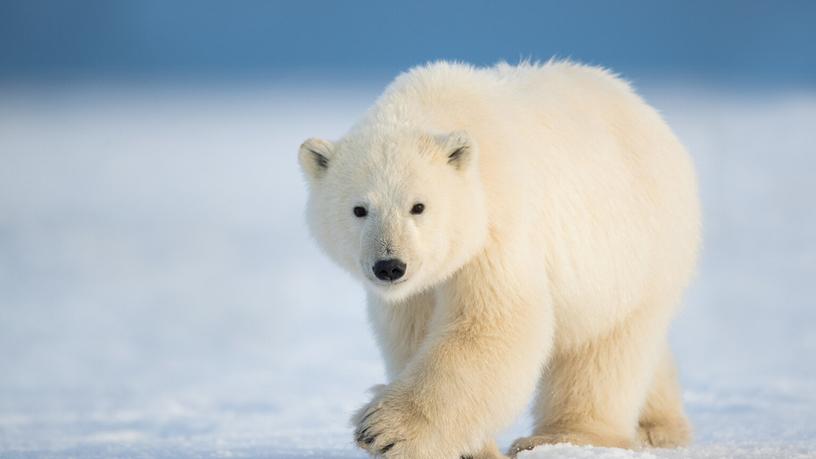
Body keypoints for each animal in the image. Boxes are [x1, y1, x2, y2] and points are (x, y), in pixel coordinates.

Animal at [300, 61, 700, 459]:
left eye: (418, 206)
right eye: (359, 209)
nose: (389, 266)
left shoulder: (497, 226)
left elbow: (492, 324)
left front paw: (383, 430)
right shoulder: (417, 289)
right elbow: (413, 334)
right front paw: (467, 448)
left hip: (633, 251)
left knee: (603, 349)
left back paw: (564, 436)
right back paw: (657, 427)